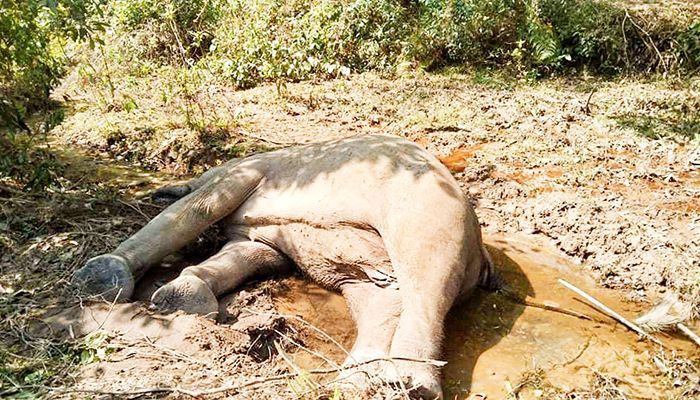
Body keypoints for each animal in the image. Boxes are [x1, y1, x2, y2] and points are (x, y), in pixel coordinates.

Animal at [74, 134, 494, 396]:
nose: (158, 191)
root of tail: (482, 253)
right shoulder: (258, 235)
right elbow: (248, 253)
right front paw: (180, 299)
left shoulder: (247, 172)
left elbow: (203, 206)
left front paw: (99, 280)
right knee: (382, 296)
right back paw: (356, 385)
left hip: (432, 211)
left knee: (424, 277)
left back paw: (408, 384)